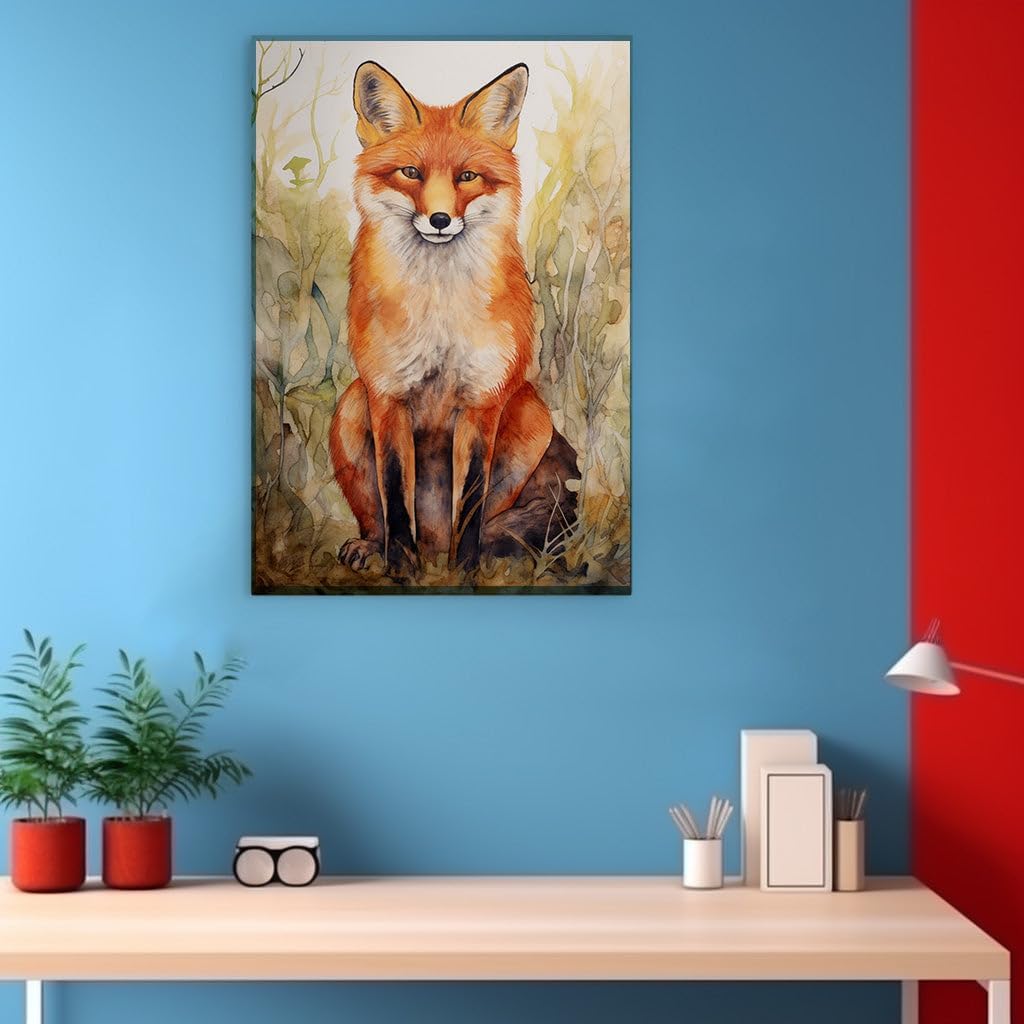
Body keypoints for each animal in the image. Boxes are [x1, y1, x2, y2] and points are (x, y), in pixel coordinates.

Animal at [329, 60, 579, 578]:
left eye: (467, 176)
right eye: (410, 173)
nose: (440, 220)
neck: (438, 311)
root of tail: (434, 540)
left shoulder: (483, 400)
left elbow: (471, 501)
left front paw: (463, 573)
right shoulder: (387, 396)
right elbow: (395, 496)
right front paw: (401, 571)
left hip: (531, 416)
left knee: (485, 520)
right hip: (350, 405)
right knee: (380, 515)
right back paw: (378, 548)